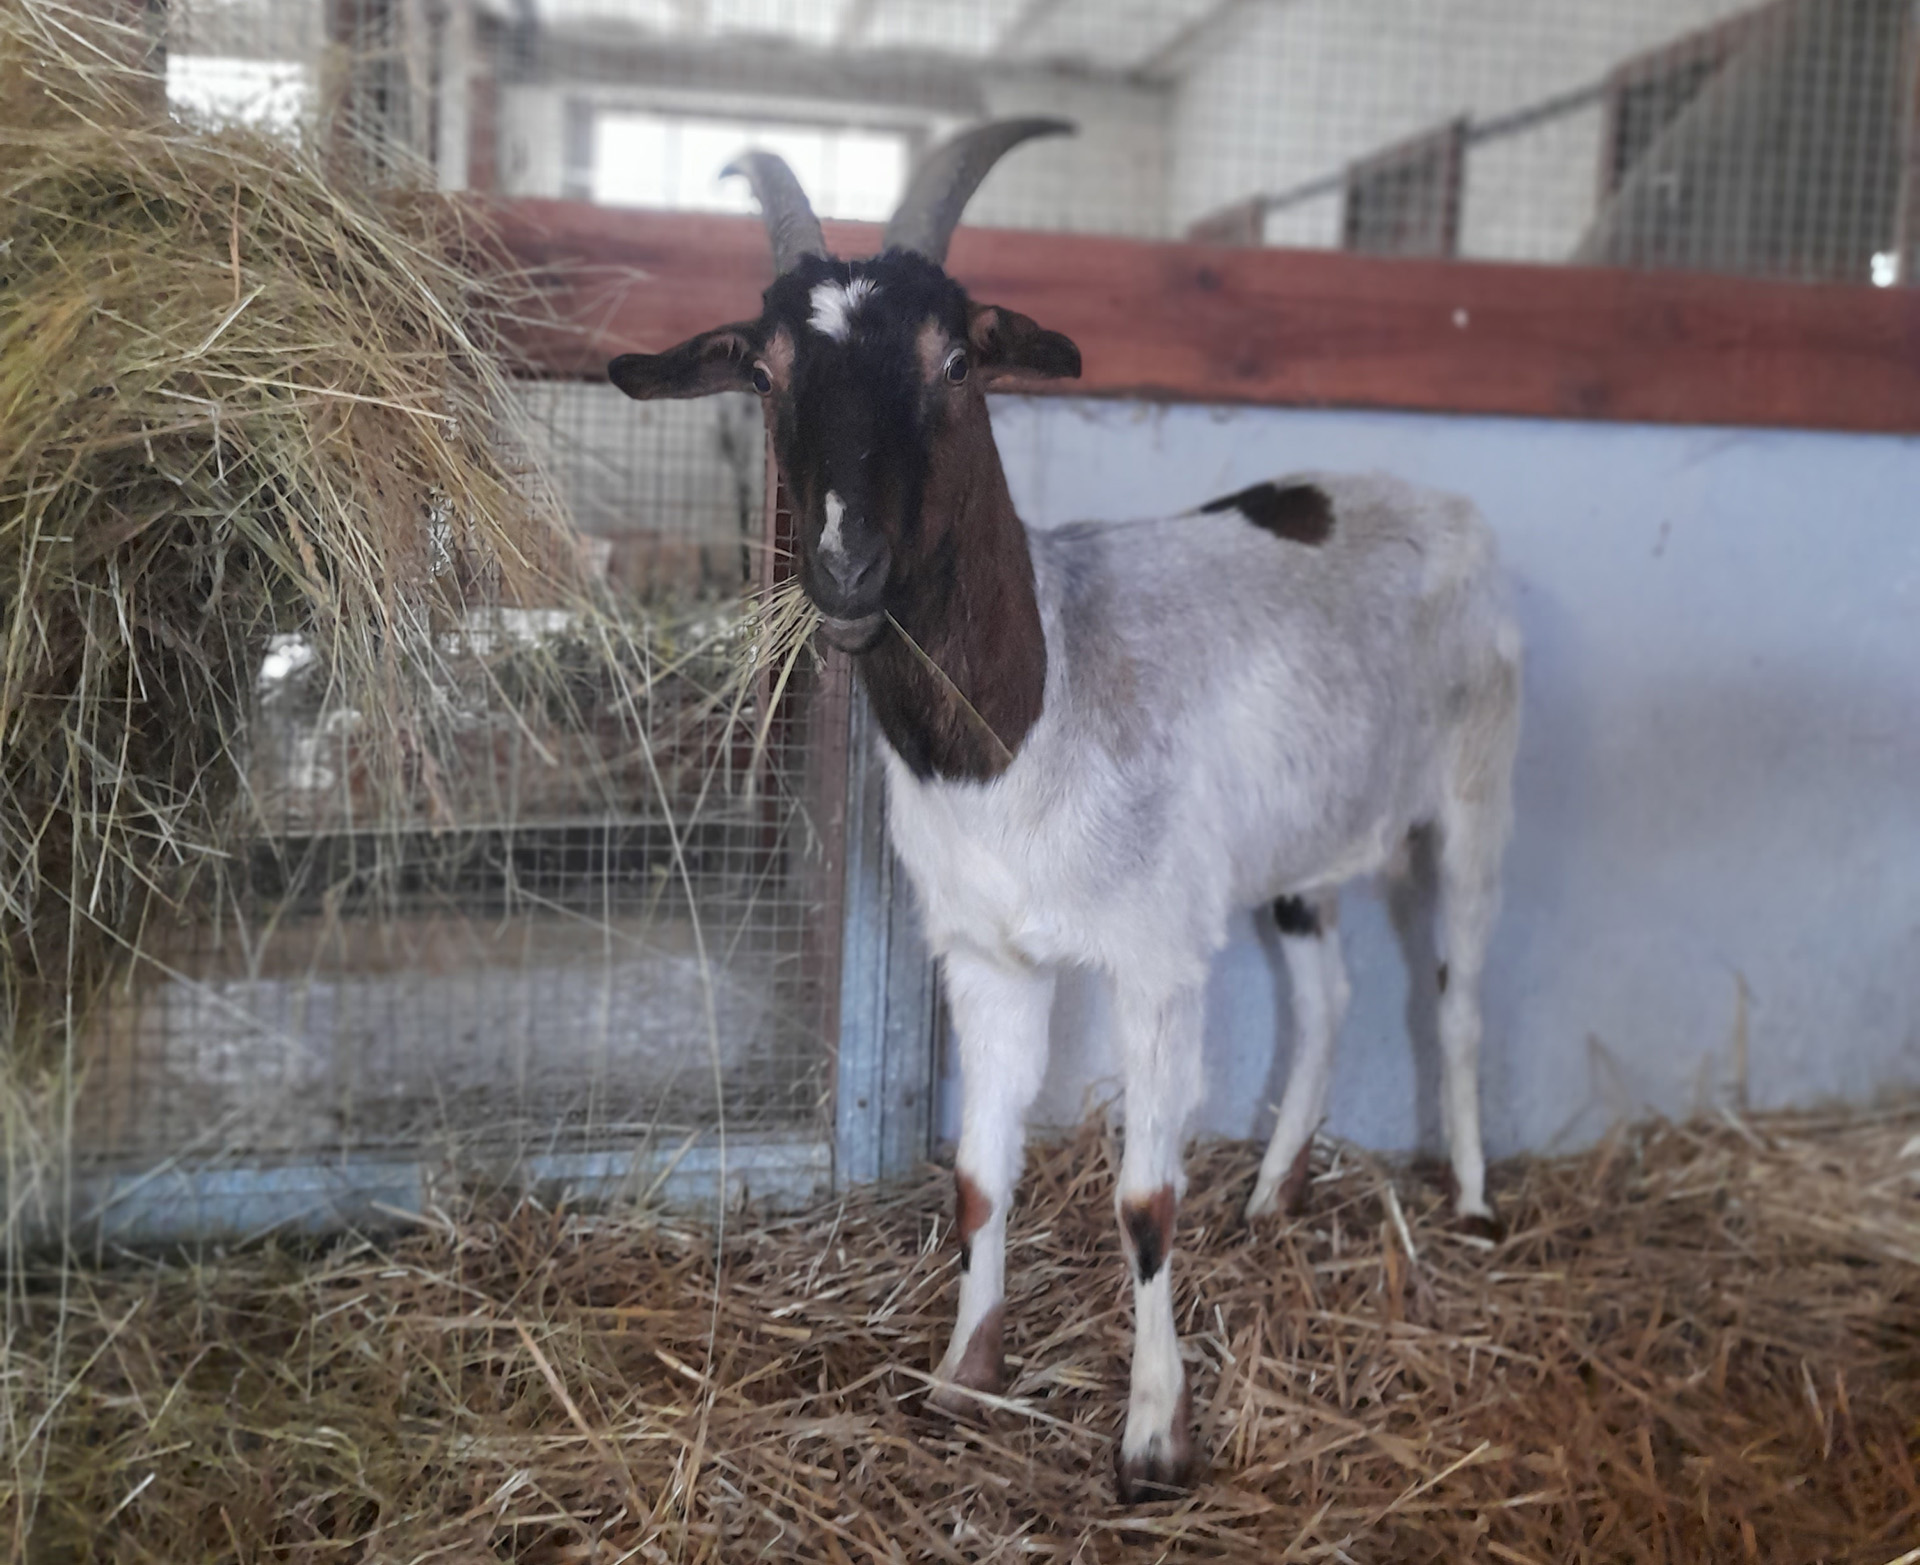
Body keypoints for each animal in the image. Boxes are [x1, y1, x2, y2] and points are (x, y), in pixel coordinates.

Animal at [606, 122, 1520, 1505]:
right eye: (764, 370)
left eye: (959, 358)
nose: (845, 569)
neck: (1035, 712)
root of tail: (1448, 507)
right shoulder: (987, 955)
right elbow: (982, 1177)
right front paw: (961, 1371)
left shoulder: (1155, 958)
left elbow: (1144, 1199)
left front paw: (1152, 1437)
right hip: (1296, 854)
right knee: (1329, 993)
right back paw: (1272, 1195)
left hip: (1474, 787)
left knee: (1458, 993)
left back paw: (1467, 1203)